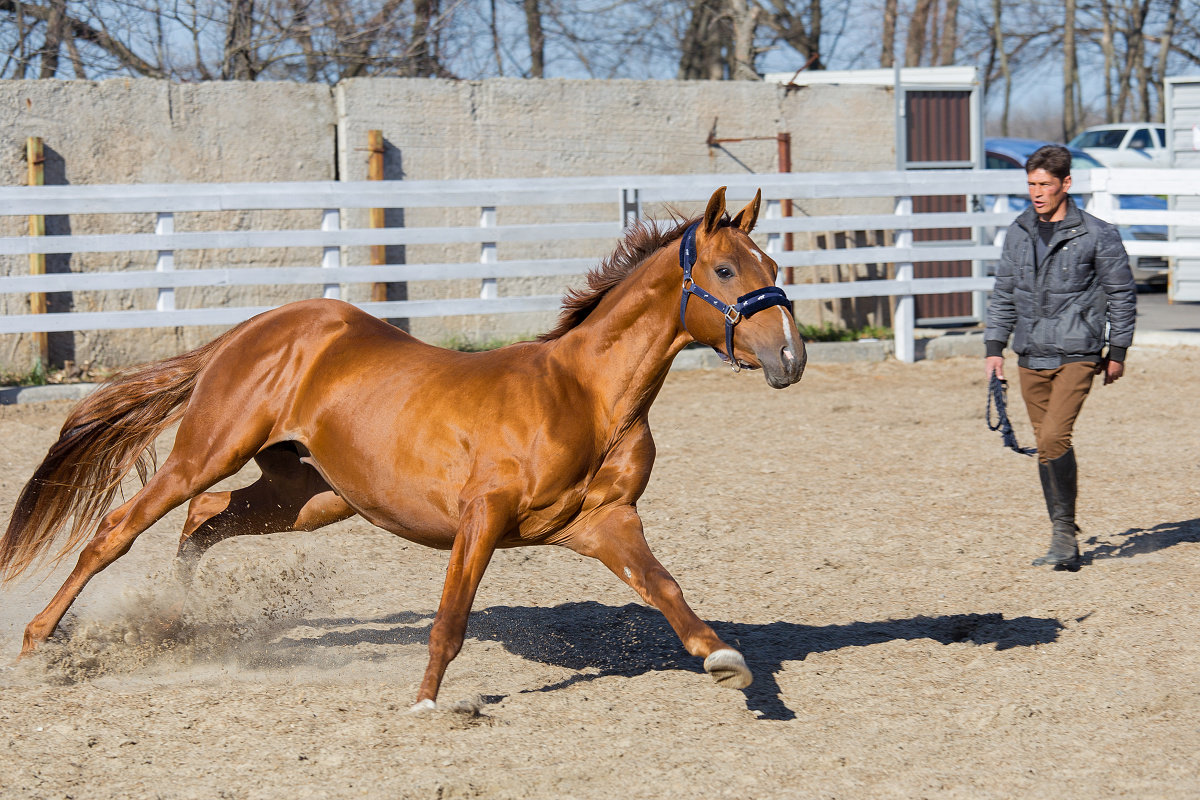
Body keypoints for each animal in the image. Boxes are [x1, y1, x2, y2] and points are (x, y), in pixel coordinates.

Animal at [2, 185, 806, 705]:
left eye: (773, 269)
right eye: (726, 270)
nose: (790, 357)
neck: (585, 396)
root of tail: (249, 331)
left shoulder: (606, 523)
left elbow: (665, 588)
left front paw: (727, 664)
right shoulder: (482, 517)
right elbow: (450, 619)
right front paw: (426, 703)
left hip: (310, 496)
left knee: (205, 520)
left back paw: (176, 621)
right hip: (206, 454)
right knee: (120, 529)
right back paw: (41, 641)